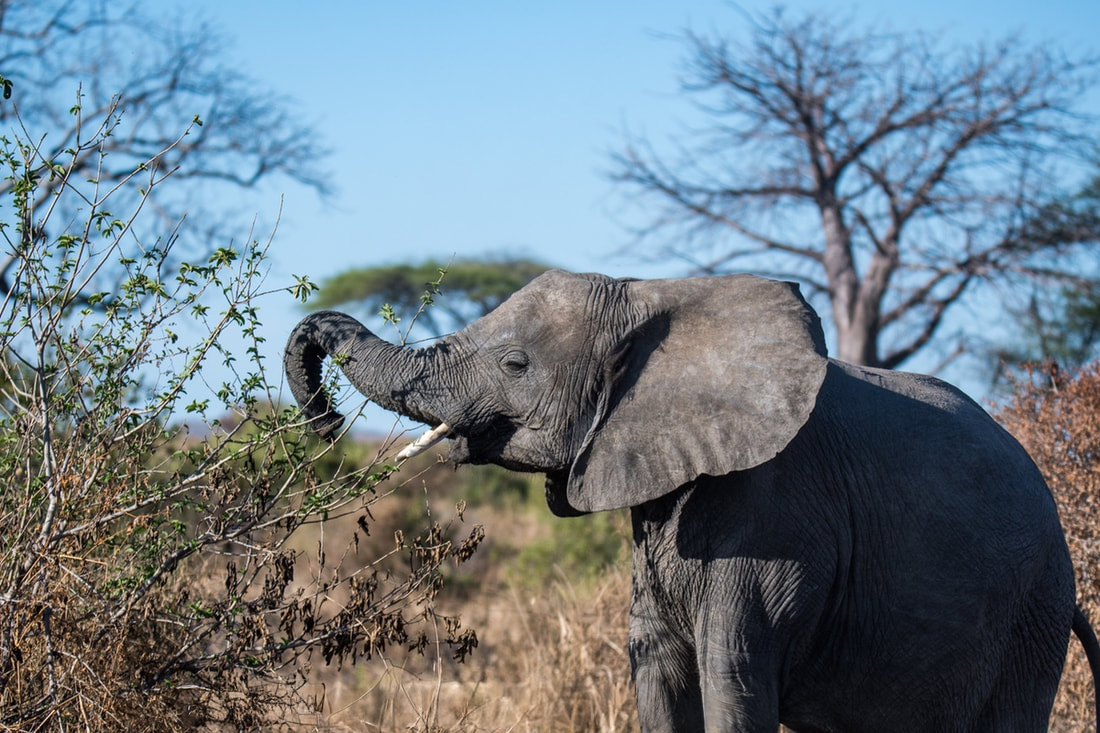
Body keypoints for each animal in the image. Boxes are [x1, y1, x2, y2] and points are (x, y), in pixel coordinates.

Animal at [284, 269, 1100, 732]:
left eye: (516, 363)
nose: (325, 422)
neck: (655, 297)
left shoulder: (775, 515)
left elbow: (729, 681)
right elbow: (659, 678)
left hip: (1031, 615)